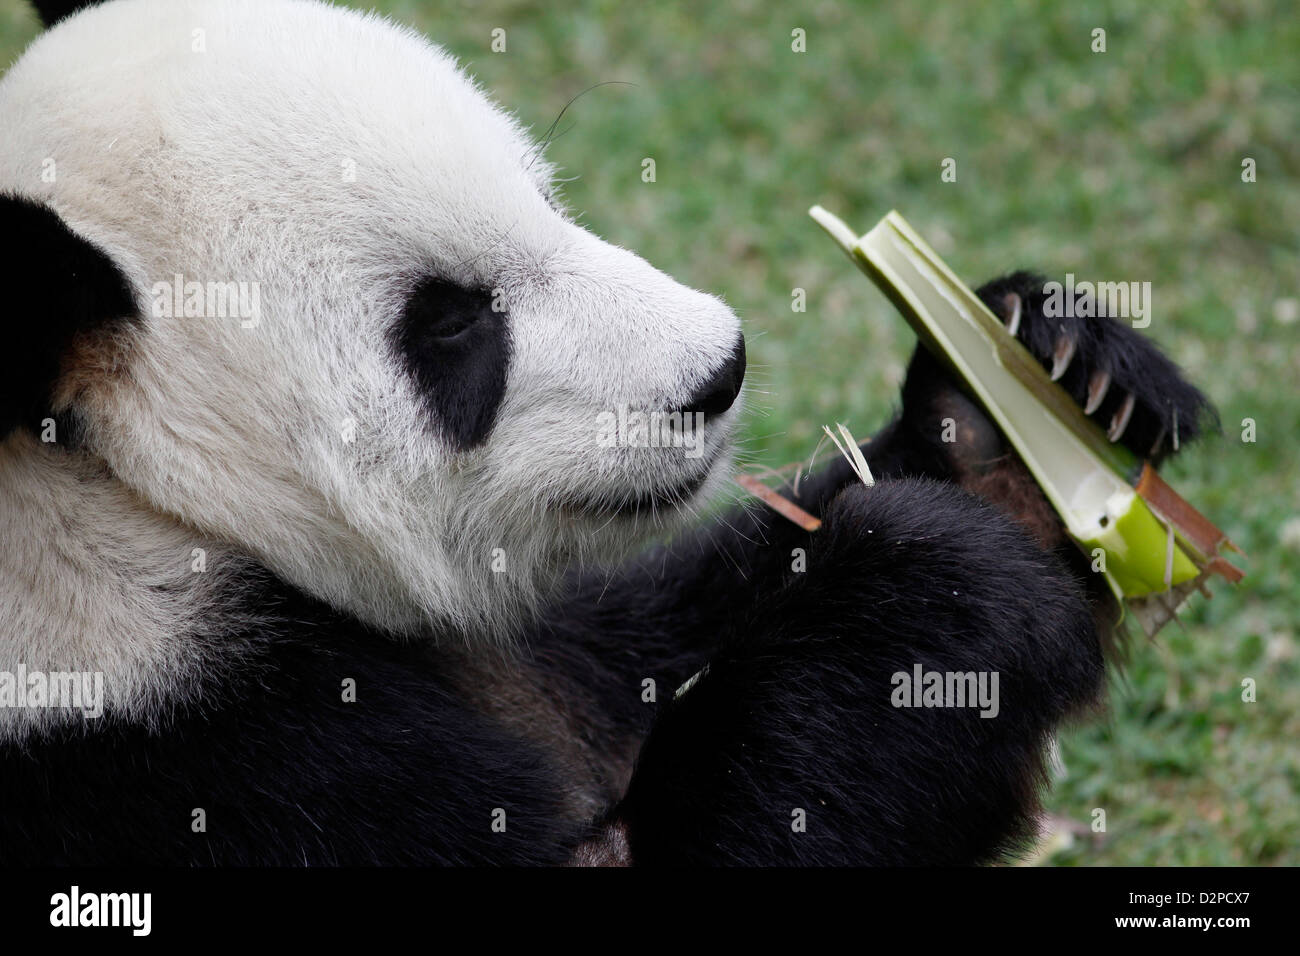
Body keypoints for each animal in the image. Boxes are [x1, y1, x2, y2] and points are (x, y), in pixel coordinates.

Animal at [2, 0, 1216, 868]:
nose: (717, 372)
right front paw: (934, 579)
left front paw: (1022, 408)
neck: (118, 492)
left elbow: (636, 658)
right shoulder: (161, 765)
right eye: (450, 324)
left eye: (545, 197)